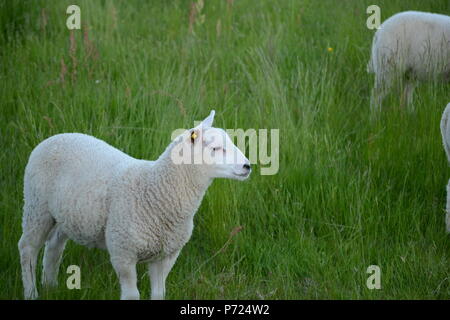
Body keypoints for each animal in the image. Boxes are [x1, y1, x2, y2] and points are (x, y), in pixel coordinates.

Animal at [18, 110, 250, 300]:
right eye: (216, 148)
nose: (248, 166)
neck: (157, 191)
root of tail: (56, 136)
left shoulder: (166, 255)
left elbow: (159, 294)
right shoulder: (123, 252)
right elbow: (132, 295)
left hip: (66, 215)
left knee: (54, 246)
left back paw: (50, 285)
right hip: (36, 206)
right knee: (28, 248)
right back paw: (31, 293)